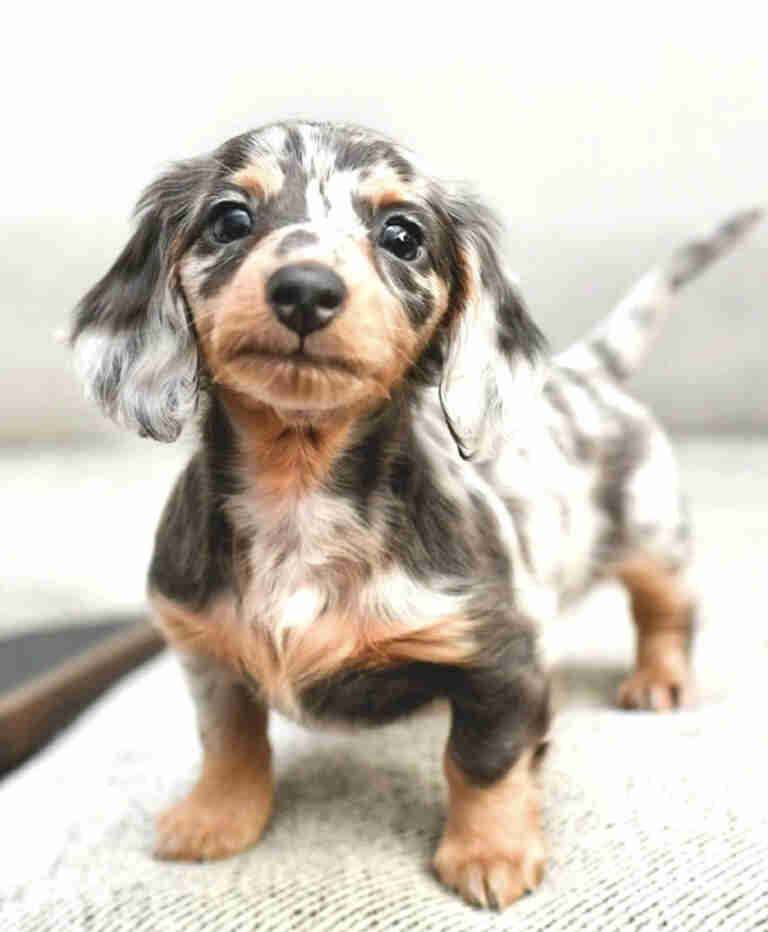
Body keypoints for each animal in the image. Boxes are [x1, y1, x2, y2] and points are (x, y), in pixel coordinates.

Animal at [70, 118, 760, 912]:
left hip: (653, 534)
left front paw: (490, 851)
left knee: (666, 611)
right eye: (230, 220)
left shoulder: (499, 658)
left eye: (402, 235)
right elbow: (229, 739)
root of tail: (583, 372)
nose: (305, 290)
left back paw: (660, 679)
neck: (298, 488)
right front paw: (216, 816)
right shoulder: (204, 649)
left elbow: (482, 760)